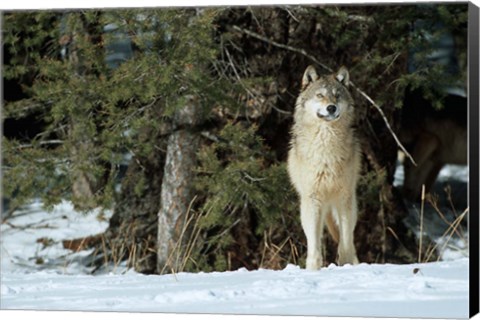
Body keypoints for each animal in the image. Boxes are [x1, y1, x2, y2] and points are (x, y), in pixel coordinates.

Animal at [284, 65, 360, 270]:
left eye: (337, 96)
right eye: (320, 95)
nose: (331, 107)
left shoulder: (345, 198)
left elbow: (346, 241)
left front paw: (346, 265)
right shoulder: (312, 199)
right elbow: (314, 245)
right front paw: (313, 269)